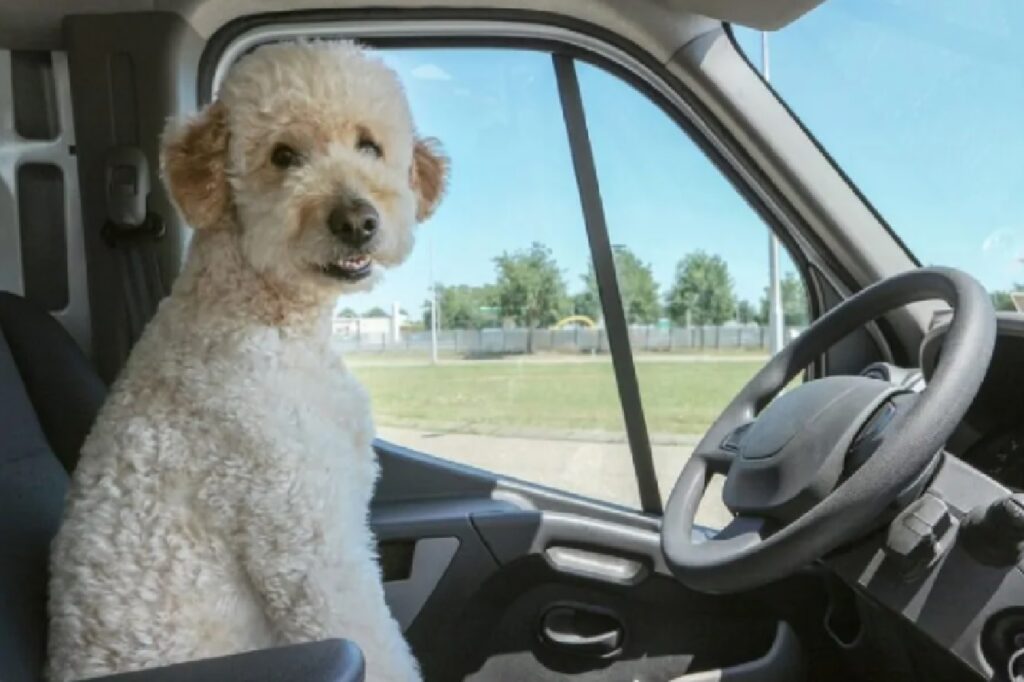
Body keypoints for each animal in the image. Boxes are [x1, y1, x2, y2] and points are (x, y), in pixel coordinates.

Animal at [48, 42, 446, 679]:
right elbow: (376, 642)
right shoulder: (307, 544)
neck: (271, 319)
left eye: (369, 145)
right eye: (284, 156)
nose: (357, 221)